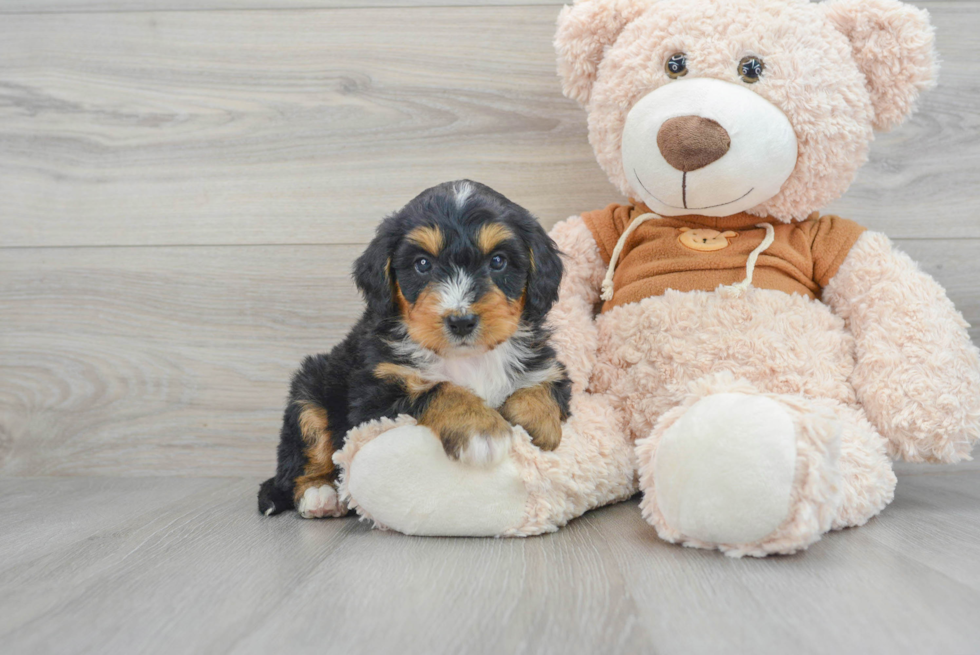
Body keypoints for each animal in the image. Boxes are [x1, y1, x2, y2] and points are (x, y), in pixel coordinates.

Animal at [256, 179, 572, 516]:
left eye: (498, 261)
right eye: (423, 264)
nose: (461, 321)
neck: (467, 359)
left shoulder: (547, 364)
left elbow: (543, 386)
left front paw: (536, 426)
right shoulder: (373, 397)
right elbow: (439, 389)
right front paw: (481, 430)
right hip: (309, 390)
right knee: (304, 453)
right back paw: (319, 493)